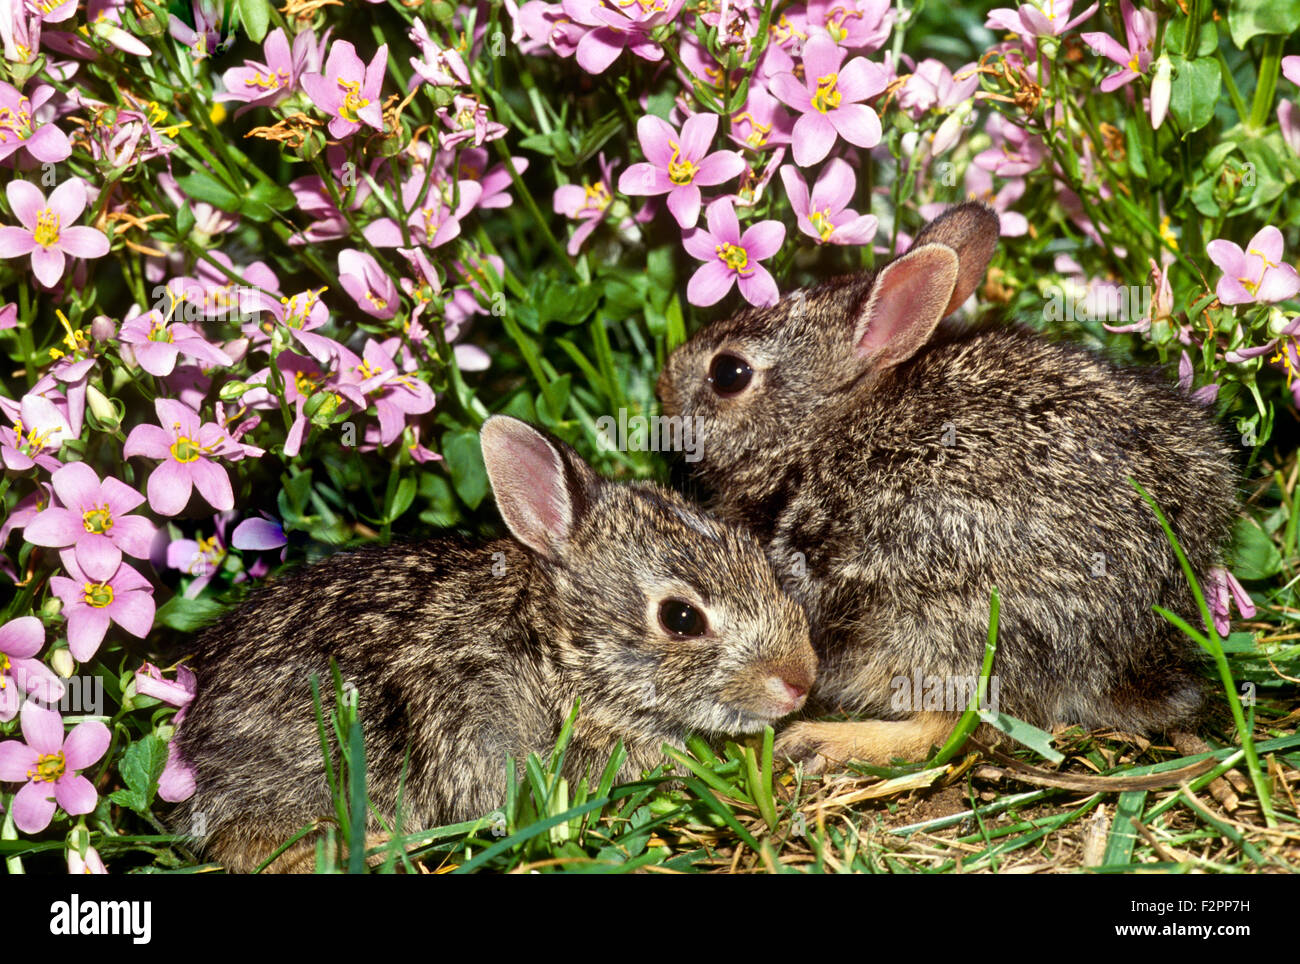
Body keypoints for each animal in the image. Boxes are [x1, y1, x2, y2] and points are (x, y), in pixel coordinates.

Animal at [656, 201, 1241, 773]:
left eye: (728, 373)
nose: (664, 383)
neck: (821, 430)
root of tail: (1132, 646)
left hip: (934, 623)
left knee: (950, 729)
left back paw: (822, 742)